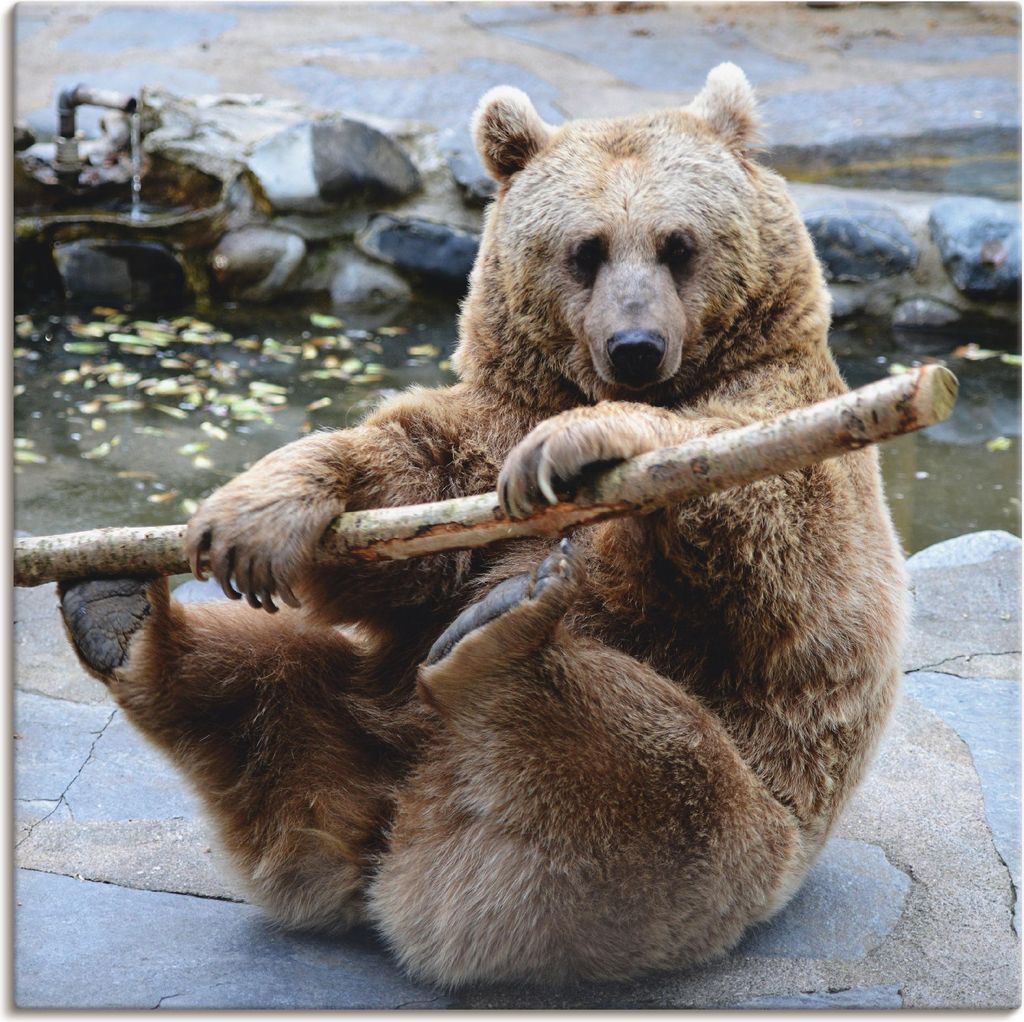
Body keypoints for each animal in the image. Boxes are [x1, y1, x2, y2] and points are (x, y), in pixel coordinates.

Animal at [58, 63, 907, 988]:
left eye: (678, 244)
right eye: (586, 249)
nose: (636, 346)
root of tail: (396, 840)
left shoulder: (790, 416)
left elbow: (774, 544)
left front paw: (589, 442)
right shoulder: (495, 418)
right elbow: (407, 504)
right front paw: (261, 510)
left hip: (726, 841)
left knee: (642, 773)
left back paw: (500, 642)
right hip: (349, 730)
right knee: (266, 689)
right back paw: (120, 619)